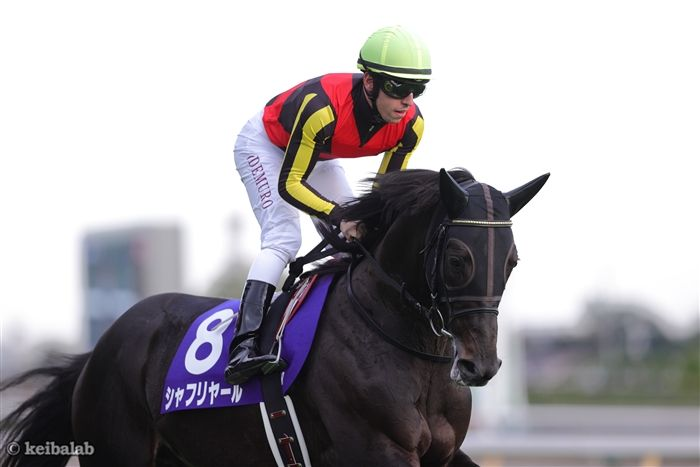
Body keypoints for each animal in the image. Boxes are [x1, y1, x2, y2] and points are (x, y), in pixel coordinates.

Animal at [1, 168, 548, 467]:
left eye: (513, 261)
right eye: (458, 259)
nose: (481, 365)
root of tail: (98, 351)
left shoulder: (443, 453)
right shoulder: (378, 450)